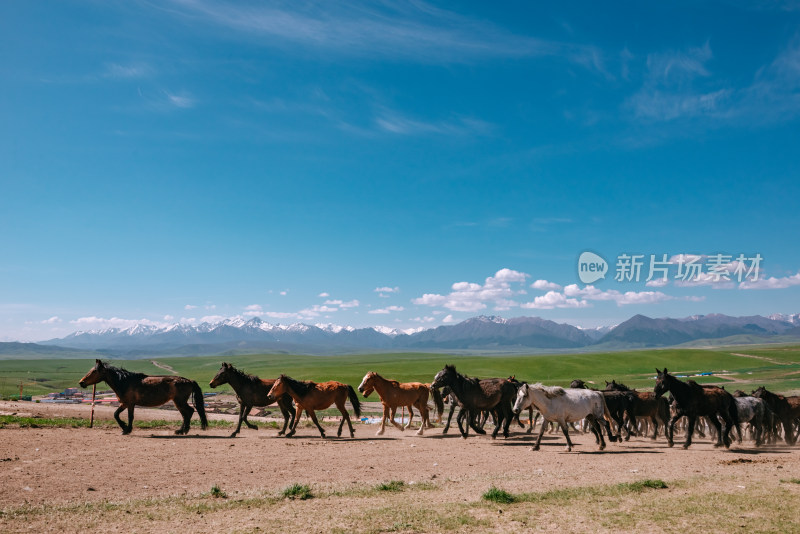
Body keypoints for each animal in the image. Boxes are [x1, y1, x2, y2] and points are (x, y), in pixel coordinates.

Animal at [78, 360, 208, 436]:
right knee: (186, 414)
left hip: (179, 402)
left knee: (188, 412)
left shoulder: (130, 404)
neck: (125, 382)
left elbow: (130, 417)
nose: (81, 382)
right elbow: (116, 414)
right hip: (178, 402)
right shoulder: (124, 403)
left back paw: (183, 430)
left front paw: (127, 429)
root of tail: (189, 380)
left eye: (94, 371)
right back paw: (182, 430)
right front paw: (124, 427)